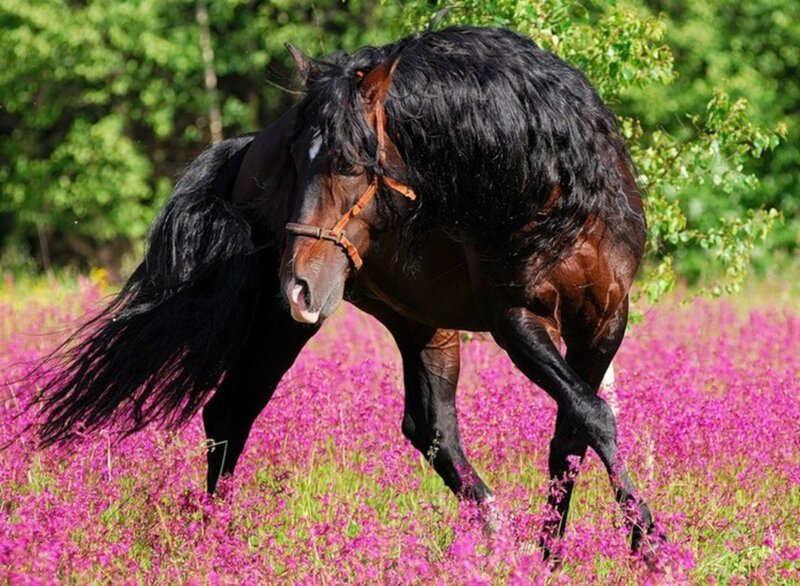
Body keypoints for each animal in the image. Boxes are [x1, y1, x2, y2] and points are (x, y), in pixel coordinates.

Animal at [34, 25, 660, 562]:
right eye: (293, 162)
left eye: (349, 163)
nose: (296, 283)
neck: (545, 189)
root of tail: (243, 149)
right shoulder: (518, 322)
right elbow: (592, 415)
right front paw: (650, 544)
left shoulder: (605, 320)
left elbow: (574, 430)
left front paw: (553, 553)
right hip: (286, 324)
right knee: (231, 411)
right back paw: (220, 544)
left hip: (418, 321)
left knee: (432, 428)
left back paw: (497, 538)